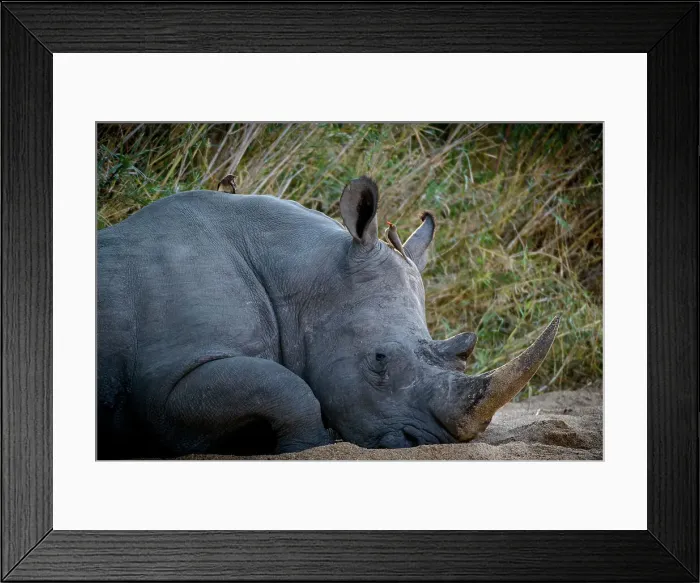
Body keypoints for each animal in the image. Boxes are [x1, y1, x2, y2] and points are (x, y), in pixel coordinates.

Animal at [98, 177, 559, 459]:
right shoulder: (163, 390)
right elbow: (287, 388)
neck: (299, 276)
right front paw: (310, 443)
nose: (427, 443)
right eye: (379, 359)